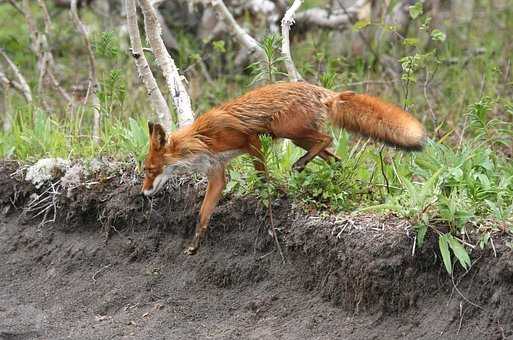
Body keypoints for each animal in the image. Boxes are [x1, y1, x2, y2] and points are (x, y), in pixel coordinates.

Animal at [141, 81, 424, 255]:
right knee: (333, 156)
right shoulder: (217, 173)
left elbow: (261, 174)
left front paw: (271, 194)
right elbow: (203, 214)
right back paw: (334, 176)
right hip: (297, 136)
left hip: (285, 129)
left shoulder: (249, 140)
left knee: (326, 140)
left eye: (149, 170)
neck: (201, 140)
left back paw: (301, 165)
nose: (144, 193)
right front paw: (195, 244)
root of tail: (322, 91)